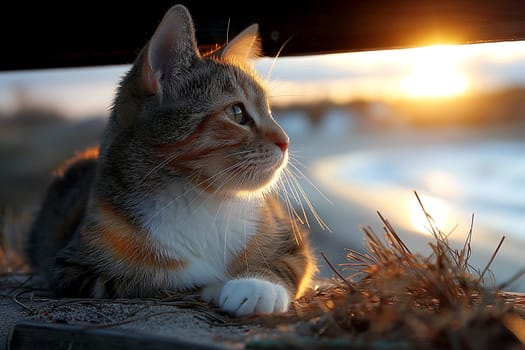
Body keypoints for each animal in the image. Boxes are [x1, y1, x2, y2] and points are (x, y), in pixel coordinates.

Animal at [26, 2, 316, 316]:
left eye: (270, 111)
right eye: (237, 113)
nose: (286, 140)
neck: (202, 200)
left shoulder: (291, 238)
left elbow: (288, 263)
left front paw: (257, 285)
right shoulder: (76, 270)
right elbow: (163, 280)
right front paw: (215, 286)